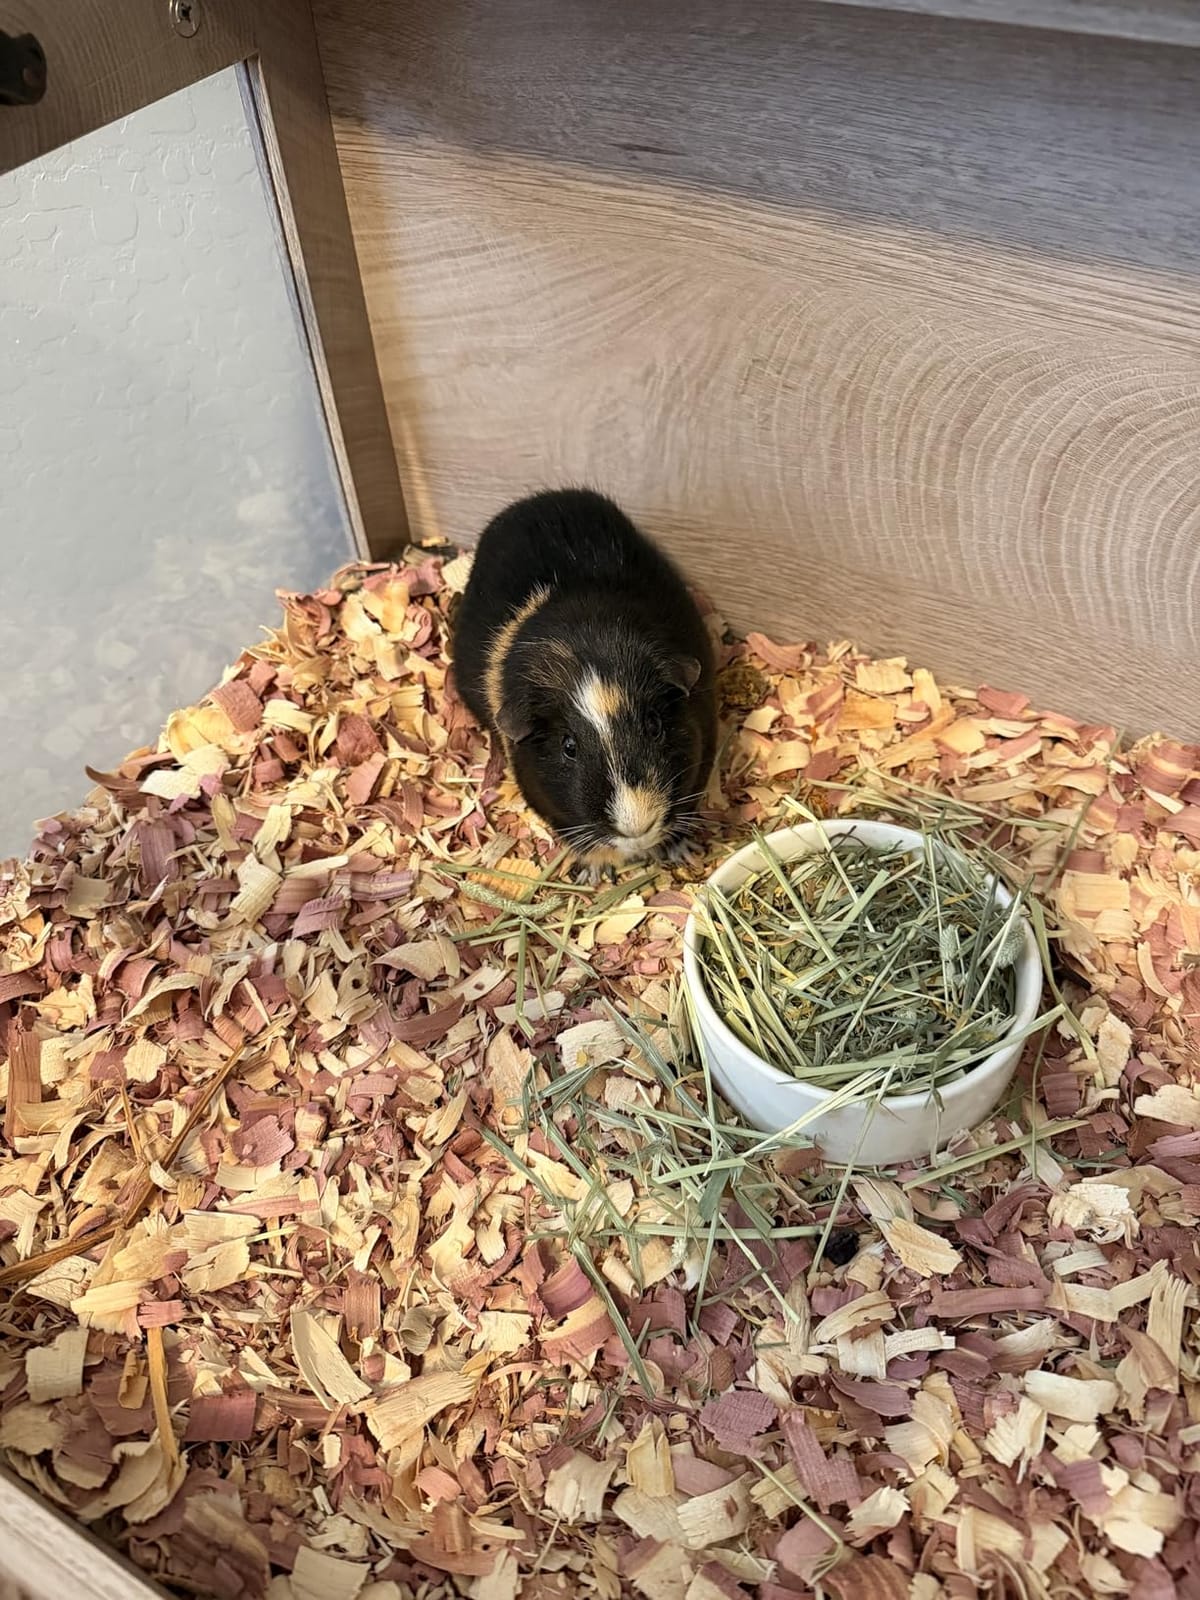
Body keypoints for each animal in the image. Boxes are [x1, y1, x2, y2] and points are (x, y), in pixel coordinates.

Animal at [453, 489, 717, 876]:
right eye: (569, 746)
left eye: (654, 725)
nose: (636, 827)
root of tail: (538, 498)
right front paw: (595, 872)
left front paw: (682, 850)